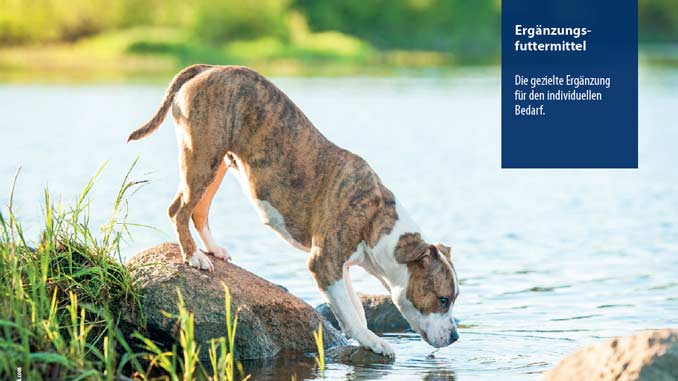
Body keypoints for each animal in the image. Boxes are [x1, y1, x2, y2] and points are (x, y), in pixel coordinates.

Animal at [129, 65, 462, 356]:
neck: (376, 219)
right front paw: (374, 342)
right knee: (178, 209)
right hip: (202, 156)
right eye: (443, 299)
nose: (456, 337)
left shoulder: (339, 267)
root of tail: (209, 67)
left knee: (198, 210)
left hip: (218, 163)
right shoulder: (323, 262)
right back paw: (194, 256)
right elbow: (351, 316)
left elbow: (355, 308)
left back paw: (212, 250)